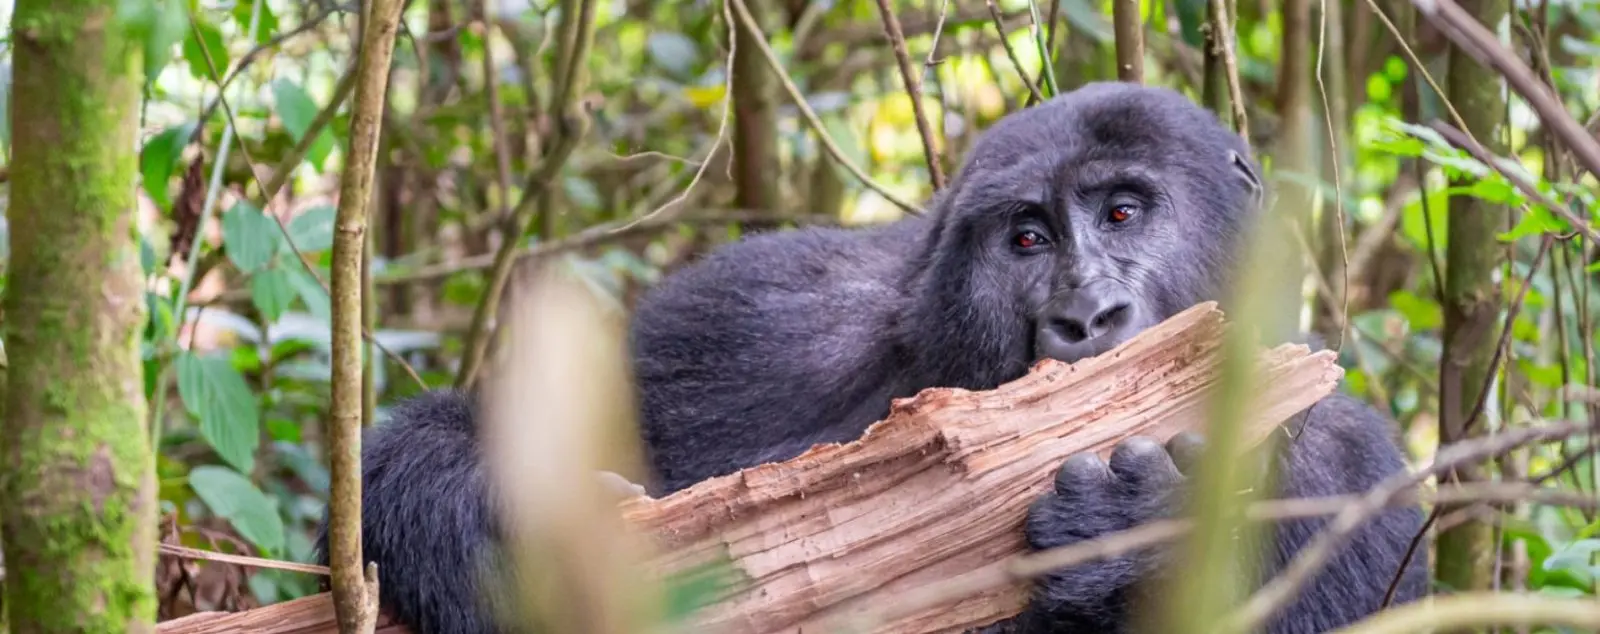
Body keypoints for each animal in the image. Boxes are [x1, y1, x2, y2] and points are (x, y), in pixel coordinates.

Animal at [314, 81, 1428, 633]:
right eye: (1027, 239)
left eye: (1123, 212)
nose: (1084, 315)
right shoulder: (759, 317)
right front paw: (512, 521)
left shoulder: (1351, 479)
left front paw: (1129, 535)